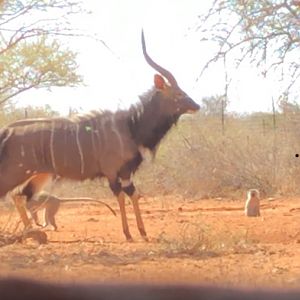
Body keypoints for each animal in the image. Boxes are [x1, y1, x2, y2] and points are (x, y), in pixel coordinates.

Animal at [0, 30, 199, 241]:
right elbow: (123, 195)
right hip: (17, 173)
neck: (131, 126)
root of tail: (7, 131)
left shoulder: (125, 172)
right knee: (16, 195)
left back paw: (31, 231)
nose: (196, 106)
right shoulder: (114, 172)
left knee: (19, 196)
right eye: (178, 94)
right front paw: (131, 234)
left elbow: (133, 193)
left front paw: (141, 232)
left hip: (39, 175)